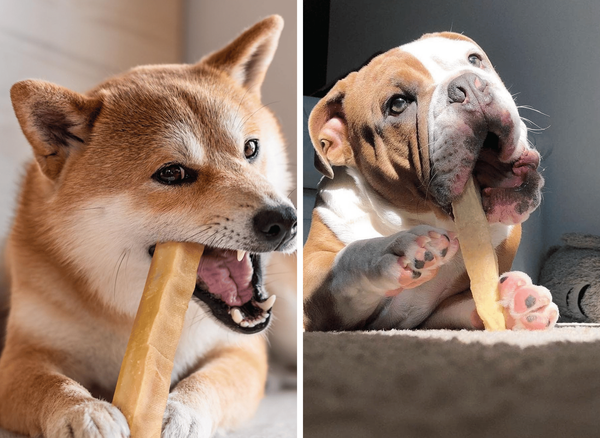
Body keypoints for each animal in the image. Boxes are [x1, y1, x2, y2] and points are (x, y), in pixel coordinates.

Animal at [0, 13, 296, 438]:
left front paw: (179, 413)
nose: (283, 220)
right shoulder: (21, 356)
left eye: (250, 149)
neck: (126, 309)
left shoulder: (239, 351)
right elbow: (55, 385)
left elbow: (208, 382)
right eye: (172, 173)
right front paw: (85, 412)